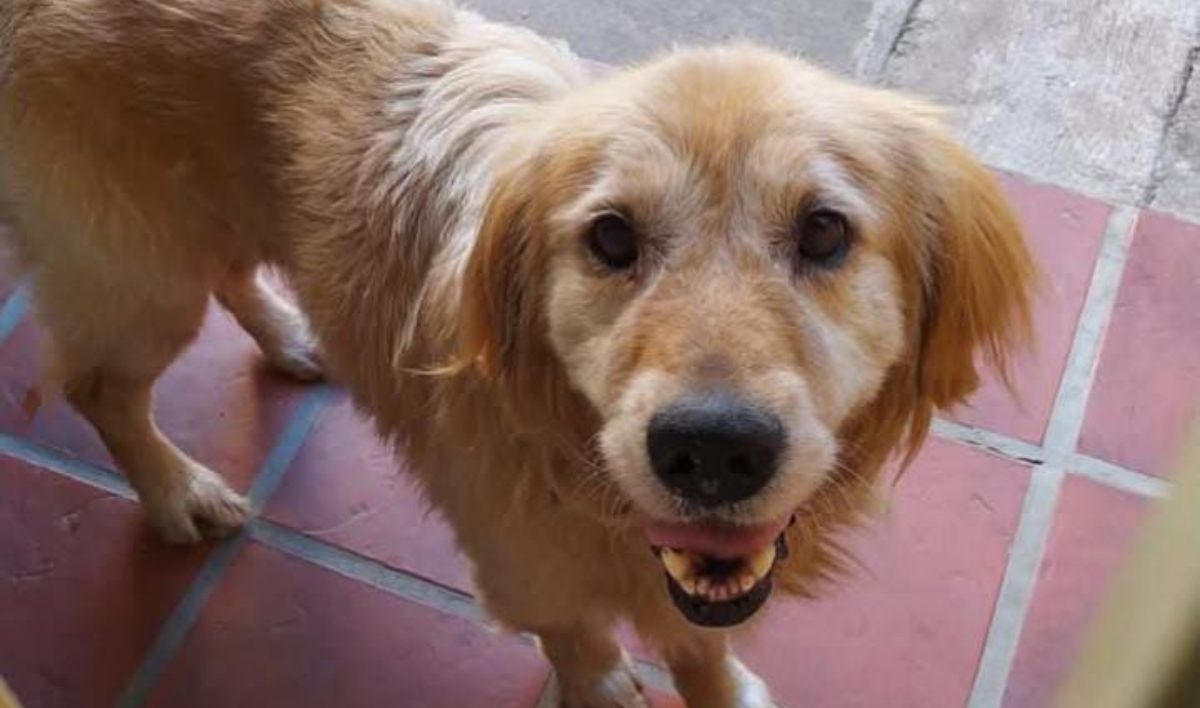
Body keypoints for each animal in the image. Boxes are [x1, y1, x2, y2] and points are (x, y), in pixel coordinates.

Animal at [0, 1, 1035, 705]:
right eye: (610, 239)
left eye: (825, 231)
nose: (712, 451)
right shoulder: (521, 564)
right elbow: (579, 641)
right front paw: (603, 683)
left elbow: (701, 644)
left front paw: (721, 685)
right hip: (139, 279)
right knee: (100, 386)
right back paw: (176, 490)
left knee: (225, 275)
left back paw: (291, 333)